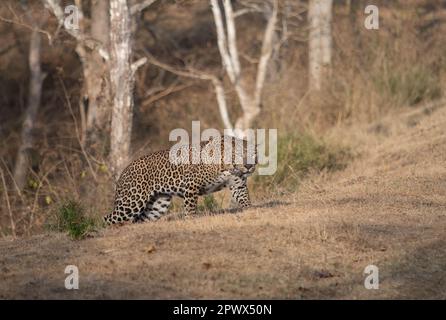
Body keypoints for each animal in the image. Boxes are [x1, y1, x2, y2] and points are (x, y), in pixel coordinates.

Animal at [104, 134, 256, 225]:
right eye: (238, 154)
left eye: (253, 154)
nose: (249, 166)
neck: (227, 168)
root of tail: (123, 172)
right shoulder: (191, 185)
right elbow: (190, 206)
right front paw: (191, 220)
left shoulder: (238, 185)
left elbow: (244, 199)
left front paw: (250, 211)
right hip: (132, 201)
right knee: (108, 219)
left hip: (157, 204)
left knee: (140, 219)